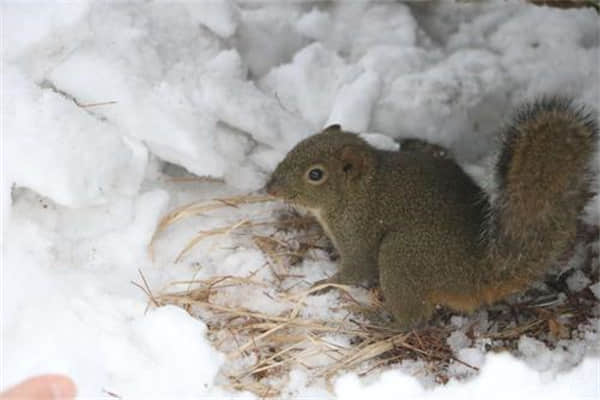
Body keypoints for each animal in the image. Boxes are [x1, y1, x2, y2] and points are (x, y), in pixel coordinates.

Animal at [268, 98, 600, 330]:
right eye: (297, 146)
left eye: (315, 174)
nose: (269, 188)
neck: (358, 192)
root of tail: (478, 273)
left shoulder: (359, 232)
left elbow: (357, 270)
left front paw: (322, 285)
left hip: (402, 254)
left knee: (414, 319)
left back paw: (383, 324)